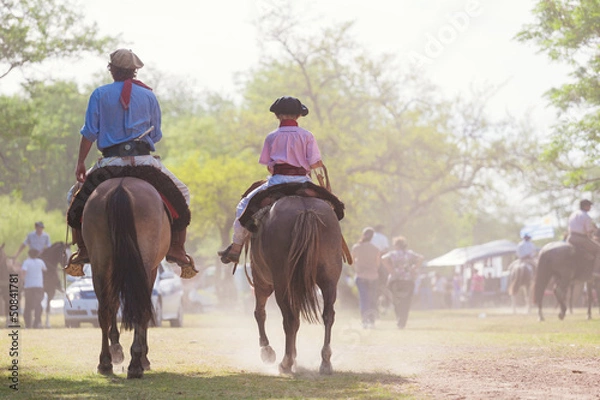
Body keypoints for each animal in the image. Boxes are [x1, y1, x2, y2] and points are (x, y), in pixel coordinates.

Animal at [82, 177, 171, 378]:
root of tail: (120, 187)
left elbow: (114, 305)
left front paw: (116, 349)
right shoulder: (151, 270)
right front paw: (142, 357)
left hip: (100, 262)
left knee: (105, 310)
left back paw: (105, 362)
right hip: (141, 263)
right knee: (139, 308)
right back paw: (136, 364)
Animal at [248, 196, 342, 376]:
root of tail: (306, 210)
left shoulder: (261, 280)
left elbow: (259, 313)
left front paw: (267, 351)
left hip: (281, 283)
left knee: (289, 319)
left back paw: (285, 362)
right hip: (329, 280)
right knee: (328, 315)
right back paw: (325, 362)